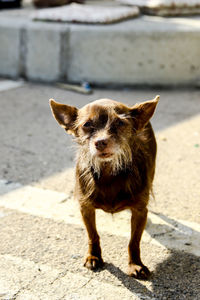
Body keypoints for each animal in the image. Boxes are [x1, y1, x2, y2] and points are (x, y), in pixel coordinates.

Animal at [50, 95, 159, 278]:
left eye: (120, 123)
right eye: (87, 124)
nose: (100, 142)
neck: (109, 172)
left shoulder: (140, 211)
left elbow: (134, 241)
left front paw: (135, 264)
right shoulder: (85, 208)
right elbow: (92, 235)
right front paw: (94, 256)